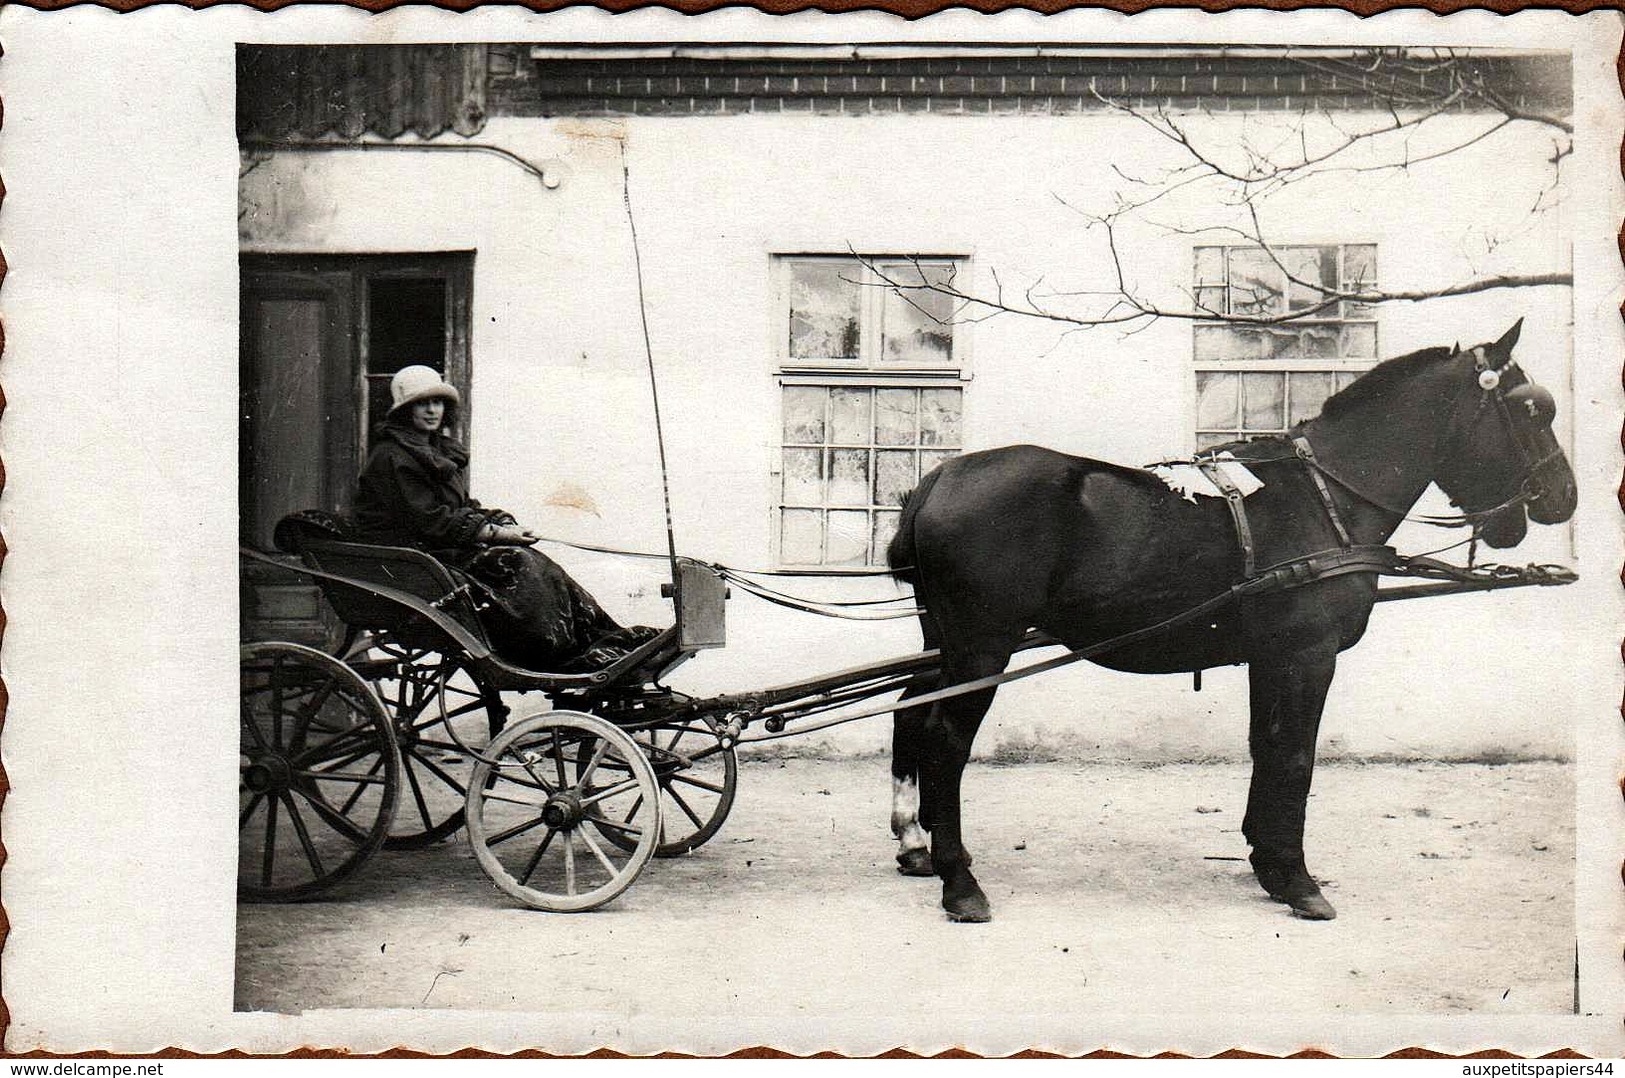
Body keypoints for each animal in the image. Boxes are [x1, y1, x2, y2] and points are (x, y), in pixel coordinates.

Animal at [890, 318, 1573, 917]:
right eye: (1531, 411)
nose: (1564, 497)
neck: (1326, 499)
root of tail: (939, 478)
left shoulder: (1270, 657)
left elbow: (1265, 748)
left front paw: (1268, 861)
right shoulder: (1308, 656)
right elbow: (1295, 757)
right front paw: (1298, 880)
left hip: (944, 642)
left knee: (910, 707)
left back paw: (914, 842)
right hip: (982, 649)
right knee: (945, 741)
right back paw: (959, 880)